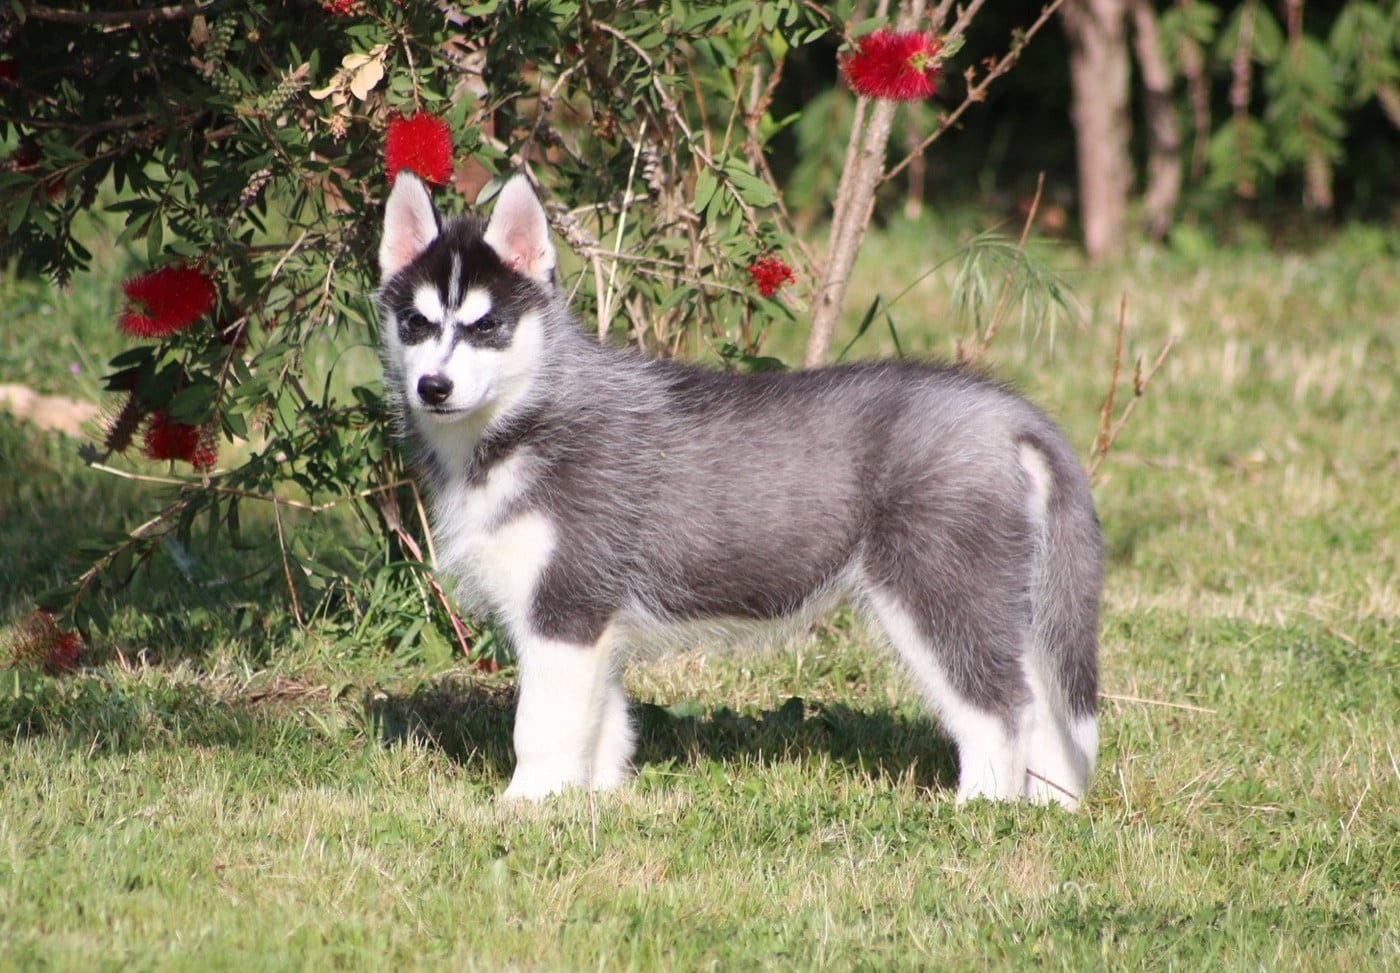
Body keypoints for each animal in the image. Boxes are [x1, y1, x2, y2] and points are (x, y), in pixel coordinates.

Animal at [375, 172, 1102, 808]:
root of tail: (1006, 410)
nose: (433, 387)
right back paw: (1049, 807)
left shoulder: (564, 608)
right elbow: (602, 723)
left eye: (486, 326)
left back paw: (981, 809)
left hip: (937, 590)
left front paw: (527, 804)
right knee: (1044, 701)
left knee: (1001, 707)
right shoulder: (592, 625)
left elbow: (542, 725)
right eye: (415, 324)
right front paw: (597, 801)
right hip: (1003, 595)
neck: (525, 418)